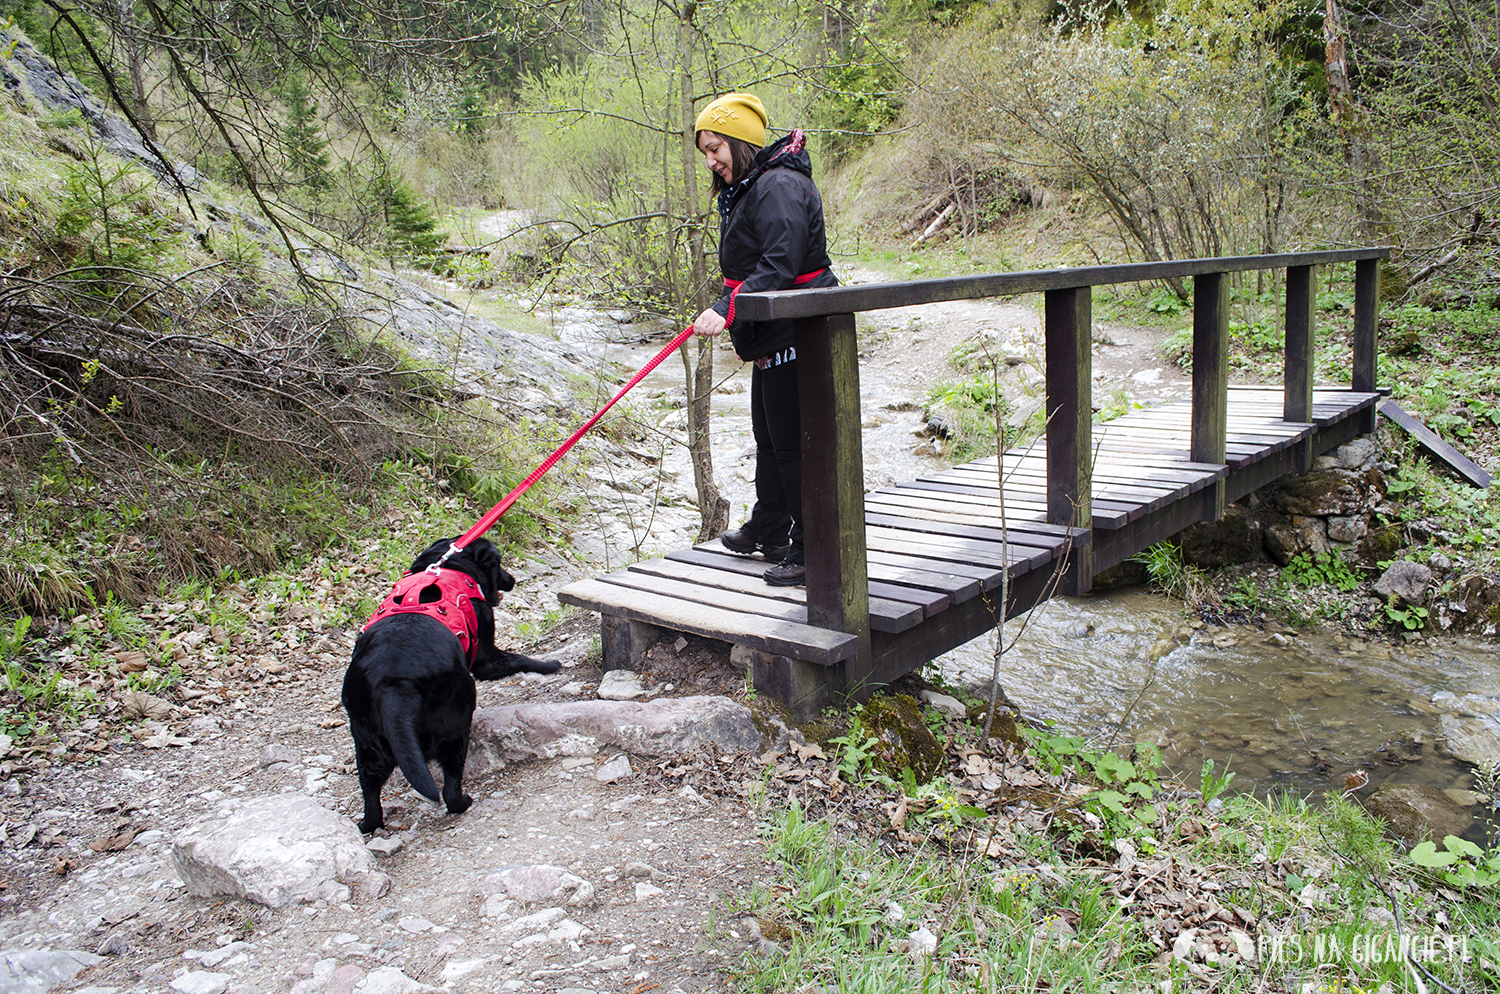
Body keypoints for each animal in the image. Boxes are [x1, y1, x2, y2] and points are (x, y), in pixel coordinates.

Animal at [340, 536, 564, 833]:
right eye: (498, 562)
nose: (511, 579)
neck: (452, 566)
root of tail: (395, 685)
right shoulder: (486, 658)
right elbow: (520, 658)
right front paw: (550, 664)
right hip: (457, 723)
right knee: (450, 786)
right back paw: (463, 802)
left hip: (366, 746)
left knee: (371, 793)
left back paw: (367, 823)